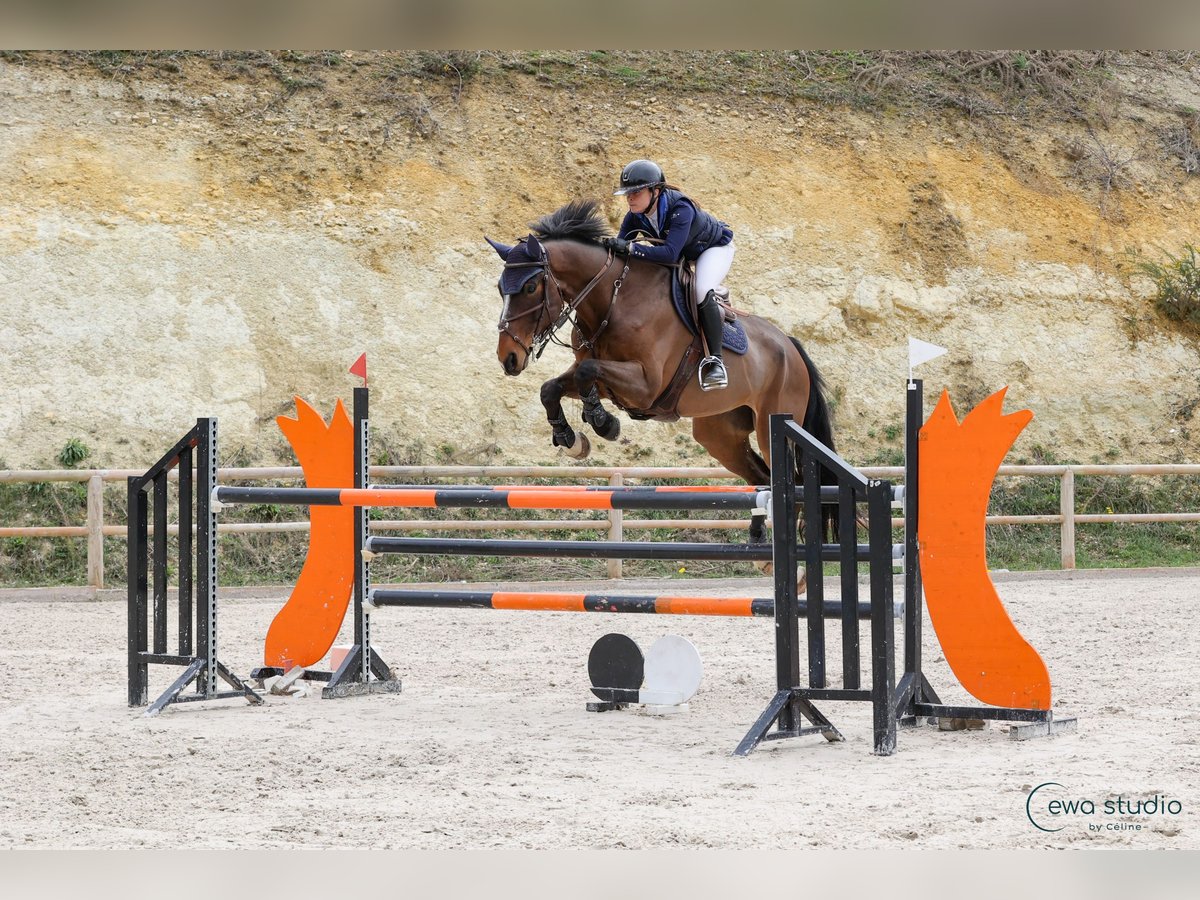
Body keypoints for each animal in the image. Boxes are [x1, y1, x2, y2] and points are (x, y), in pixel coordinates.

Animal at [487, 198, 835, 549]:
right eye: (500, 288)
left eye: (530, 286)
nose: (508, 358)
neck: (612, 302)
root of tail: (790, 347)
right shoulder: (606, 379)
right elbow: (552, 387)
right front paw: (571, 438)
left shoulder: (645, 386)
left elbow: (588, 372)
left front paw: (602, 422)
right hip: (719, 433)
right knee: (760, 477)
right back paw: (758, 537)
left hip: (771, 421)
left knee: (788, 482)